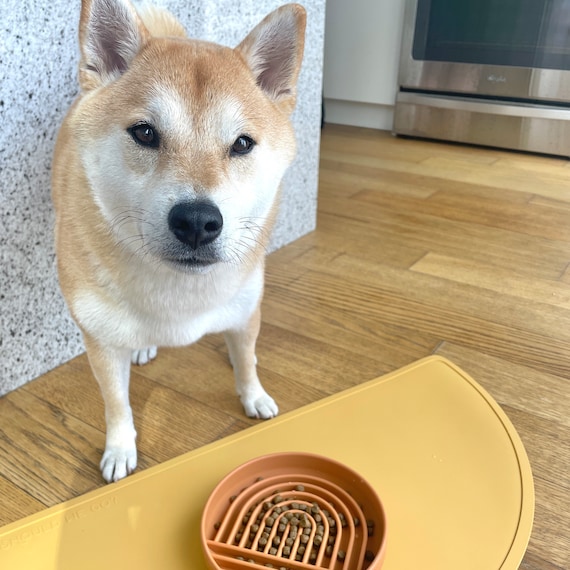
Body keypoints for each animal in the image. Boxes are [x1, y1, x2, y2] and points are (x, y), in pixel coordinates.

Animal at [51, 0, 304, 480]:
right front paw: (120, 449)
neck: (180, 298)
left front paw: (254, 396)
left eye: (242, 144)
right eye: (145, 133)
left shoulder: (246, 309)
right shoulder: (100, 341)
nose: (197, 221)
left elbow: (247, 359)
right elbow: (116, 404)